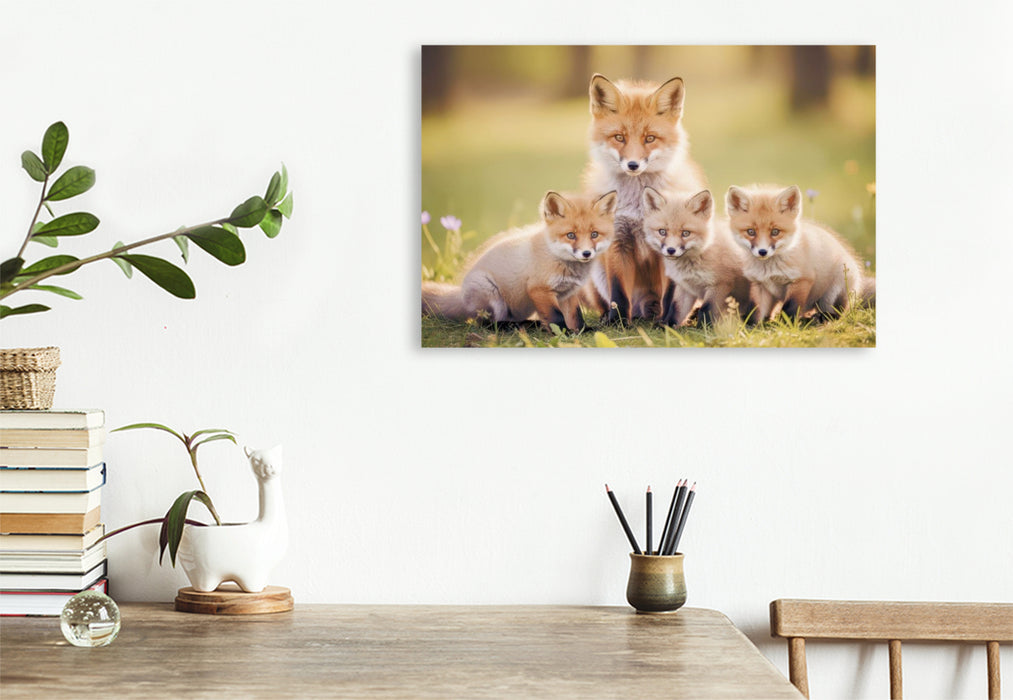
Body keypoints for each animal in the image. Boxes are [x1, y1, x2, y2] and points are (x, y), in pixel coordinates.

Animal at [421, 190, 617, 332]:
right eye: (571, 235)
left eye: (594, 234)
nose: (586, 253)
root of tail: (461, 294)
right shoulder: (539, 289)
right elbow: (556, 317)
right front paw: (564, 333)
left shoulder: (567, 293)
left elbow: (576, 316)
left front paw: (583, 330)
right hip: (493, 296)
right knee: (486, 323)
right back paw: (511, 327)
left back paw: (529, 324)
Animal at [583, 73, 707, 324]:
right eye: (619, 137)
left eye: (650, 138)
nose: (633, 165)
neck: (637, 204)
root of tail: (645, 308)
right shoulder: (618, 240)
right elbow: (618, 292)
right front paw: (618, 321)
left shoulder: (670, 244)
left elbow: (671, 294)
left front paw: (667, 322)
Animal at [641, 187, 754, 327]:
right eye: (662, 232)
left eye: (685, 233)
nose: (671, 250)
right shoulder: (685, 287)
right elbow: (676, 309)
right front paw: (667, 326)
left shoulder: (720, 284)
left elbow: (706, 309)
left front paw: (704, 328)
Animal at [724, 184, 870, 321]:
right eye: (751, 232)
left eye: (775, 232)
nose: (762, 252)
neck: (770, 270)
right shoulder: (760, 284)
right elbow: (756, 310)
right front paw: (751, 325)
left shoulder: (801, 280)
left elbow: (790, 307)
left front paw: (786, 325)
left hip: (835, 288)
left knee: (838, 312)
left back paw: (821, 317)